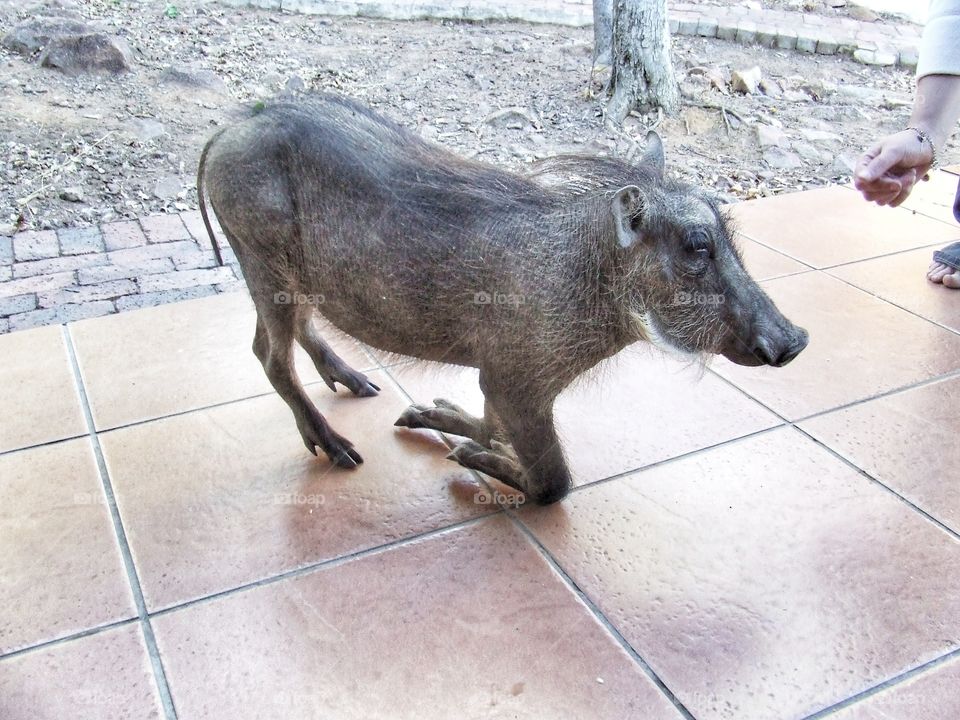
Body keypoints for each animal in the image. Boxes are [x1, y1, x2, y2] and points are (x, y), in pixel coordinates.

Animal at [197, 94, 807, 505]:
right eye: (697, 245)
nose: (796, 340)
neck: (586, 273)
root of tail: (234, 123)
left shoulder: (502, 377)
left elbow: (489, 421)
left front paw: (436, 418)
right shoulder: (519, 382)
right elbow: (553, 483)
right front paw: (471, 459)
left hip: (291, 278)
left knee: (299, 333)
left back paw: (358, 385)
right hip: (263, 261)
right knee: (270, 357)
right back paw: (337, 448)